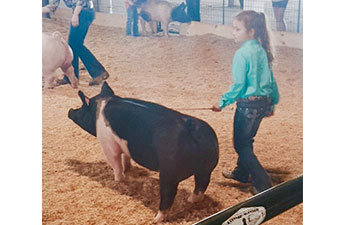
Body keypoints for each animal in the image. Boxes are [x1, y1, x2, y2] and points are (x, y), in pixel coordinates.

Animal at [68, 81, 219, 222]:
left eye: (81, 108)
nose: (69, 110)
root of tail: (194, 133)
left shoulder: (107, 144)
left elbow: (116, 164)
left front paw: (118, 180)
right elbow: (126, 157)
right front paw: (128, 169)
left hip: (169, 173)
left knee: (168, 195)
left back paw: (156, 219)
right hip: (206, 168)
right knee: (201, 185)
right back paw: (190, 200)